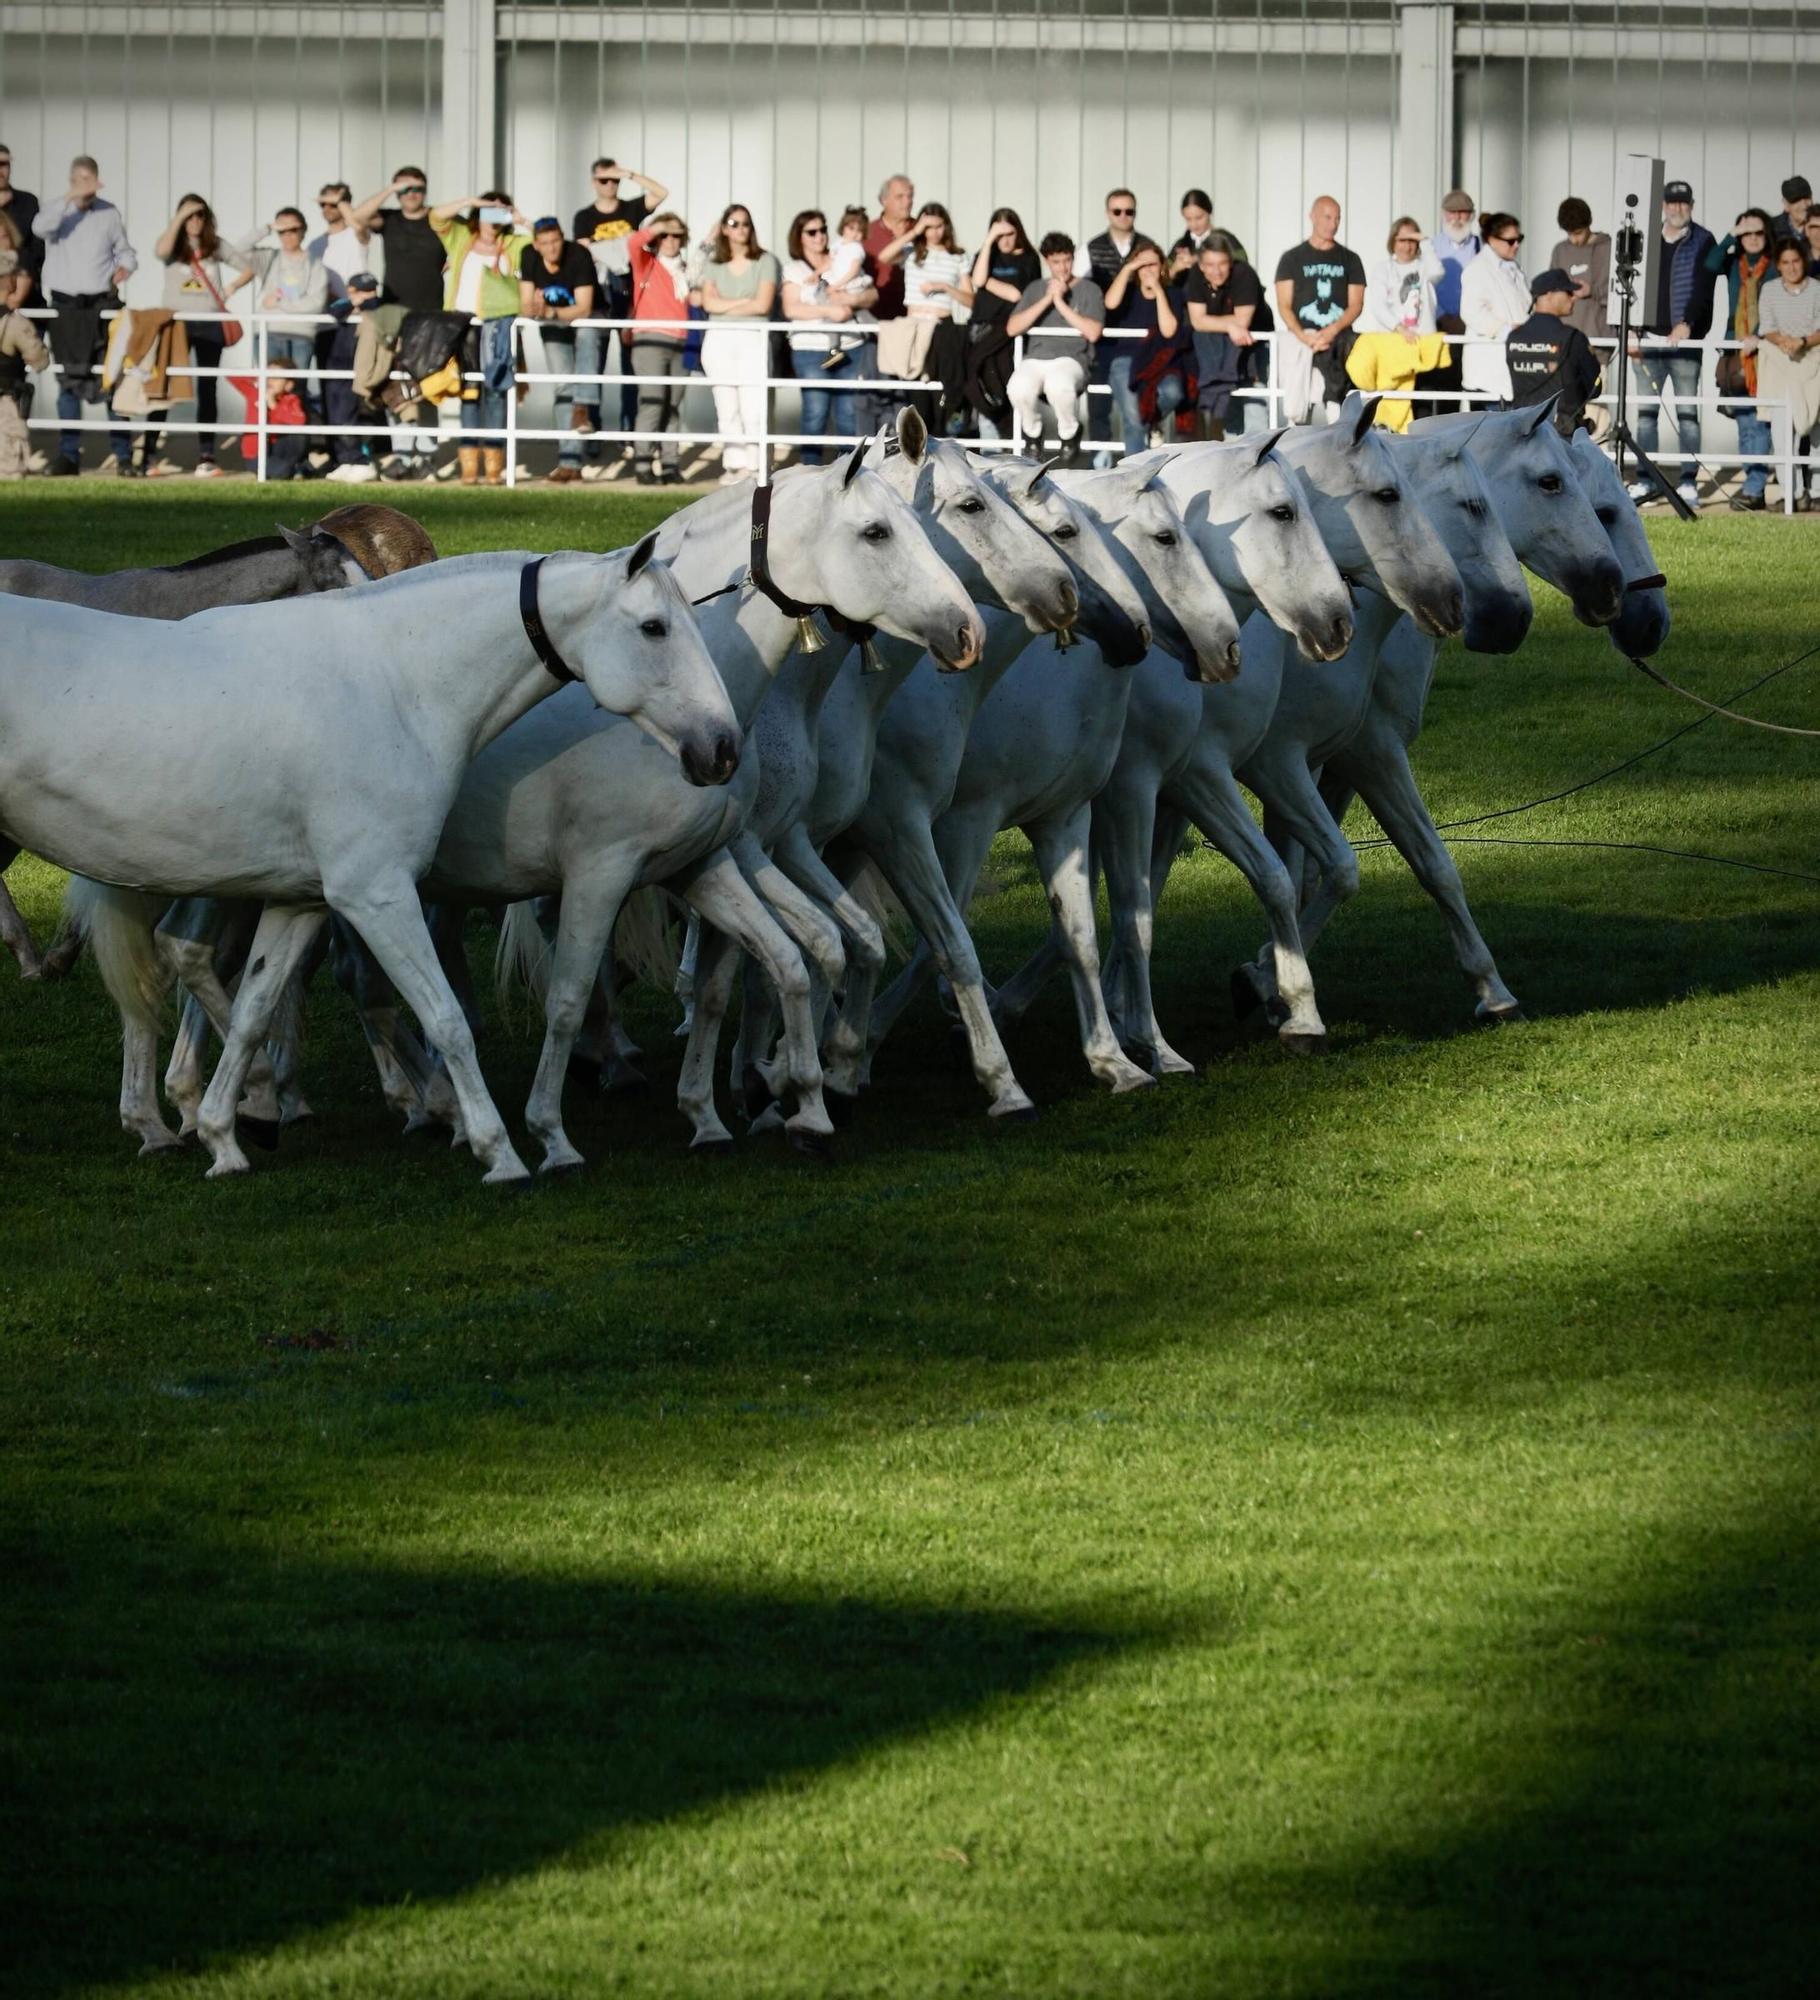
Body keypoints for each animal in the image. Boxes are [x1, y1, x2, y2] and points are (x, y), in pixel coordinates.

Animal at [7, 540, 736, 1176]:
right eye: (654, 628)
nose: (722, 747)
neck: (393, 681)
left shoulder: (300, 901)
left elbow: (251, 1013)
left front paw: (225, 1137)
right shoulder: (377, 894)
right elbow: (445, 1018)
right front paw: (499, 1151)